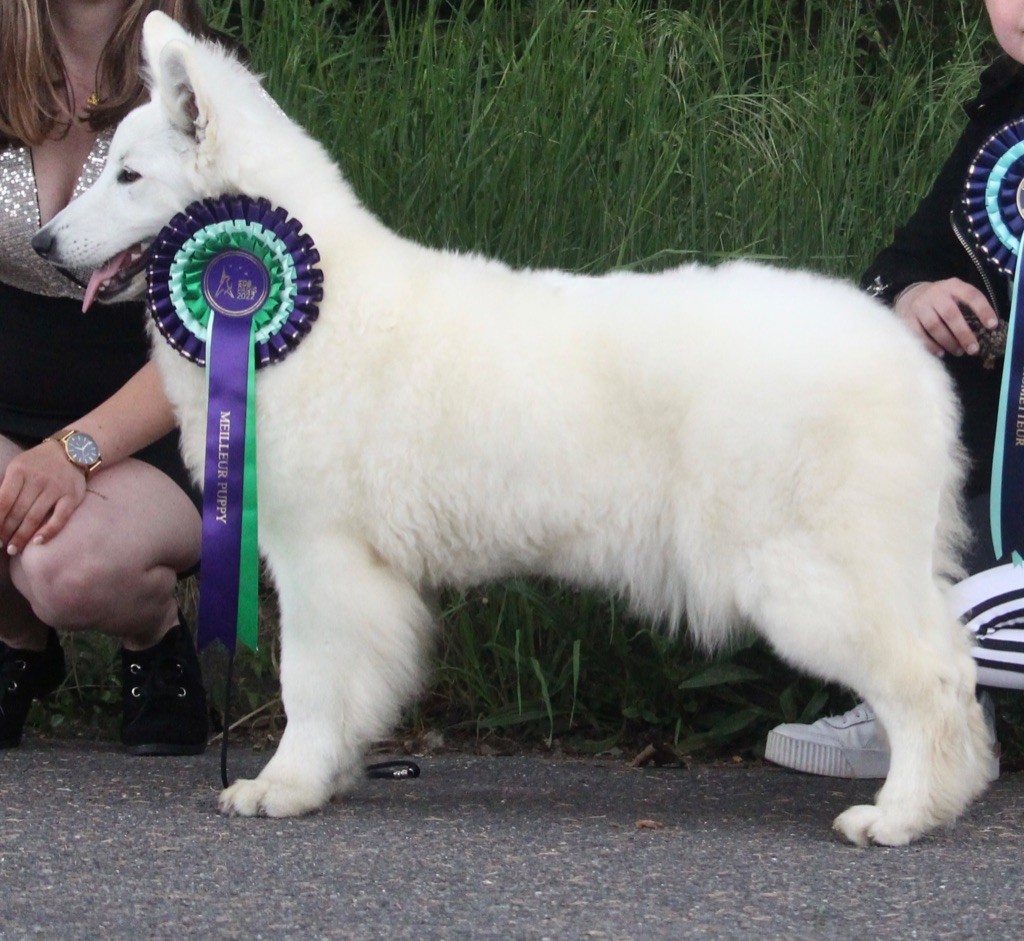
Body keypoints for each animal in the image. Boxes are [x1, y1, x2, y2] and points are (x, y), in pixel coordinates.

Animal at [34, 11, 991, 847]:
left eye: (127, 177)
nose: (41, 244)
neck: (308, 301)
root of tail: (909, 355)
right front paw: (328, 776)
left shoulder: (322, 557)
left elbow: (309, 684)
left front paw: (285, 784)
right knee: (955, 666)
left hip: (812, 577)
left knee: (934, 679)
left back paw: (902, 815)